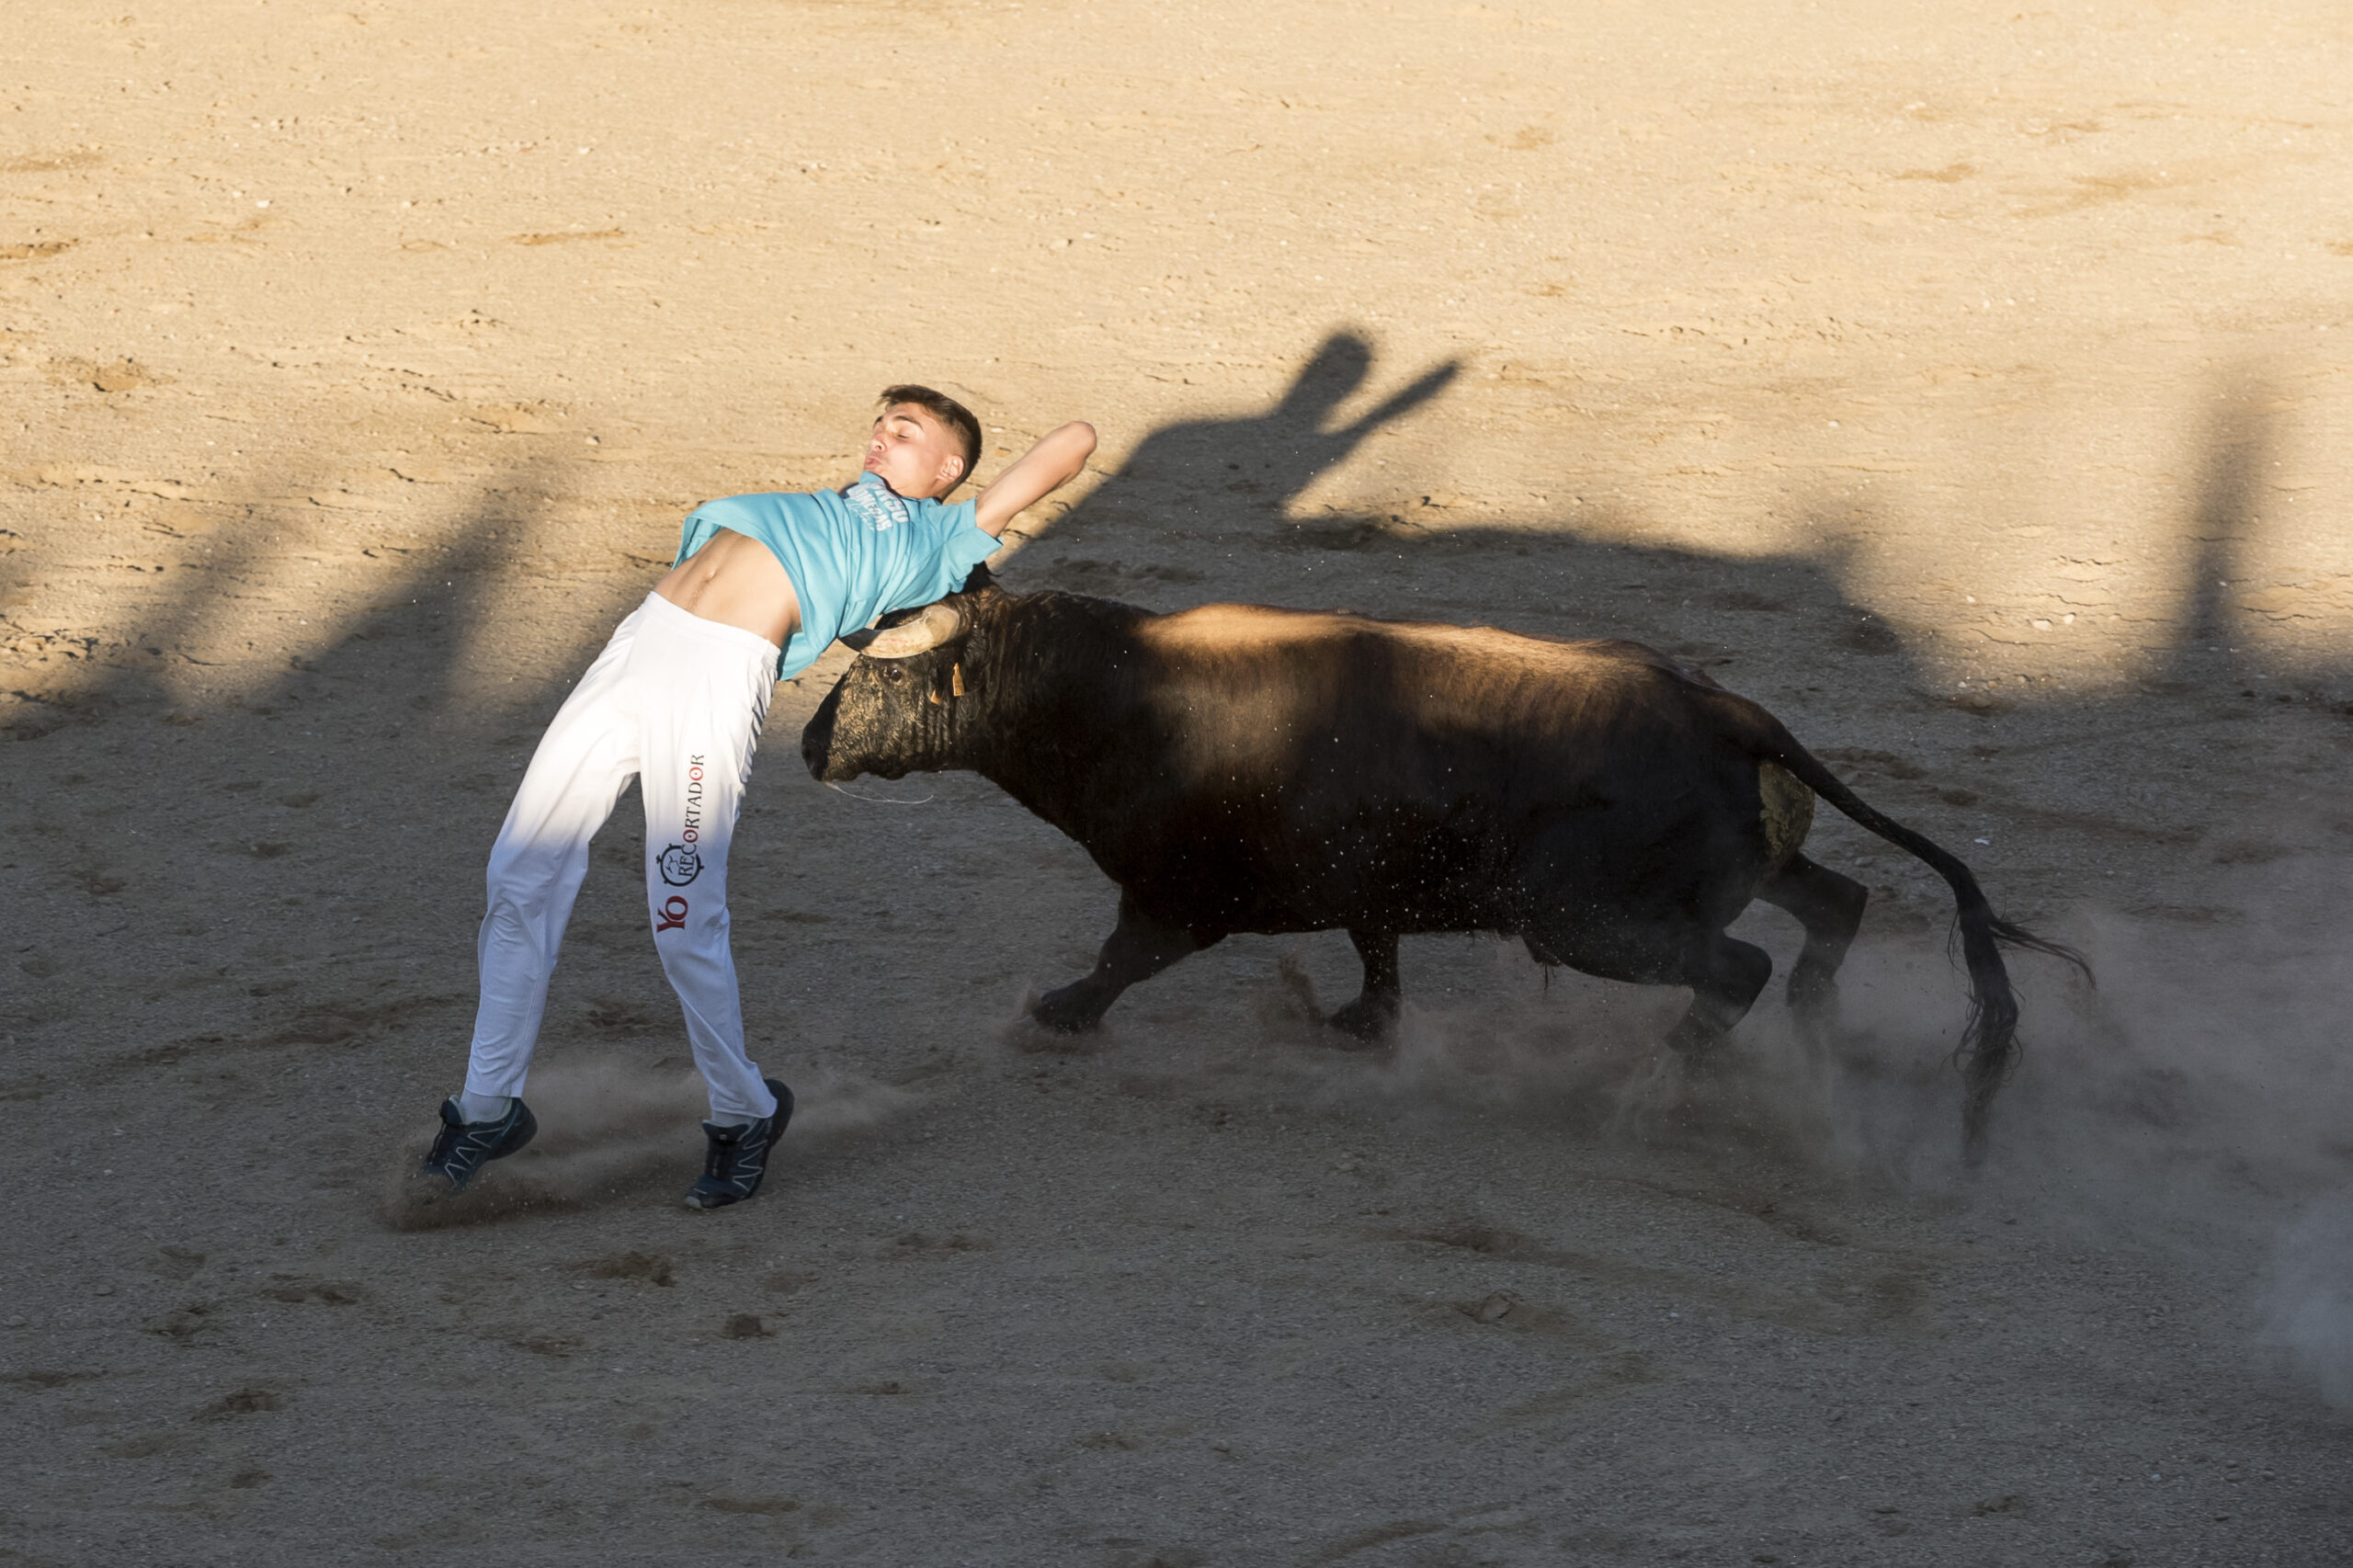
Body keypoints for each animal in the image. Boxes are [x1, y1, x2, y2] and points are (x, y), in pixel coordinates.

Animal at [800, 567, 2089, 1153]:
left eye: (873, 674)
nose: (808, 742)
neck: (1114, 696)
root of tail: (1732, 713)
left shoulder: (1179, 895)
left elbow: (1120, 960)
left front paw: (1052, 1014)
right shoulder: (1364, 878)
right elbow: (1376, 950)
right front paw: (1363, 1025)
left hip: (1588, 919)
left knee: (1735, 970)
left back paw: (1655, 1088)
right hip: (1731, 875)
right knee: (1835, 904)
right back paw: (1817, 1037)